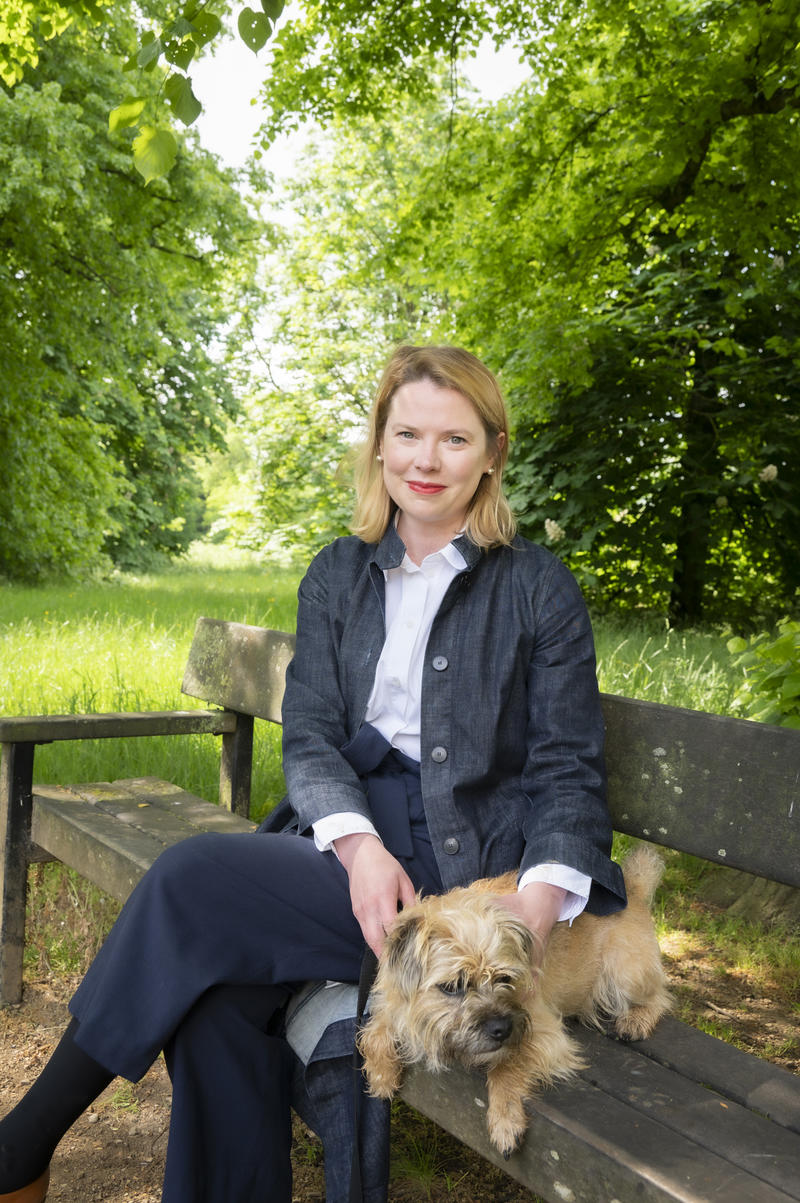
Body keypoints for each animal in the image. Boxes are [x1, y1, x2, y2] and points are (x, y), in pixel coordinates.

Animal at [356, 842, 668, 1150]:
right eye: (453, 986)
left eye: (505, 978)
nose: (501, 1028)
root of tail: (632, 888)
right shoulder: (393, 1002)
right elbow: (373, 1030)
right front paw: (381, 1073)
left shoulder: (545, 1032)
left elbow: (509, 1061)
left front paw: (505, 1117)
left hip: (627, 973)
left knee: (660, 996)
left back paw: (637, 1019)